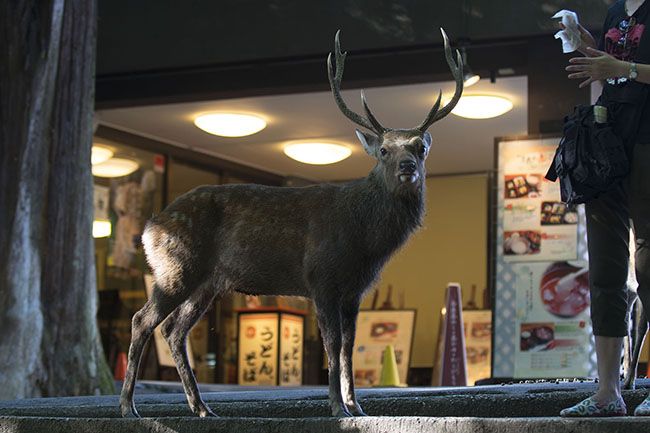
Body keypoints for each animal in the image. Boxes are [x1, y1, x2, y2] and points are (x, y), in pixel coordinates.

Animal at [119, 28, 463, 418]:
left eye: (421, 147)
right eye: (384, 150)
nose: (407, 166)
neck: (365, 242)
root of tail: (150, 227)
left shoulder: (355, 290)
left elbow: (348, 345)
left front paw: (357, 406)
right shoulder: (322, 277)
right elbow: (332, 344)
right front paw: (337, 407)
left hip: (206, 282)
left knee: (174, 331)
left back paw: (202, 407)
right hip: (176, 268)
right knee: (142, 320)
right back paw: (129, 407)